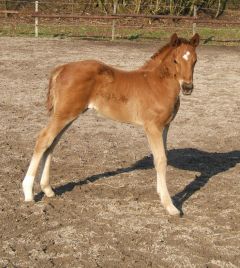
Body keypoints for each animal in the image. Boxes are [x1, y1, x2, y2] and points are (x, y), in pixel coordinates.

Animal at [23, 33, 199, 216]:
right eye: (175, 60)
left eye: (195, 60)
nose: (187, 87)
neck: (157, 84)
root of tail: (61, 68)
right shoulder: (153, 127)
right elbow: (160, 160)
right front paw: (170, 206)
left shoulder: (165, 126)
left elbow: (163, 157)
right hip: (64, 114)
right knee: (43, 139)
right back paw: (28, 192)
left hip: (68, 115)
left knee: (51, 144)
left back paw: (48, 189)